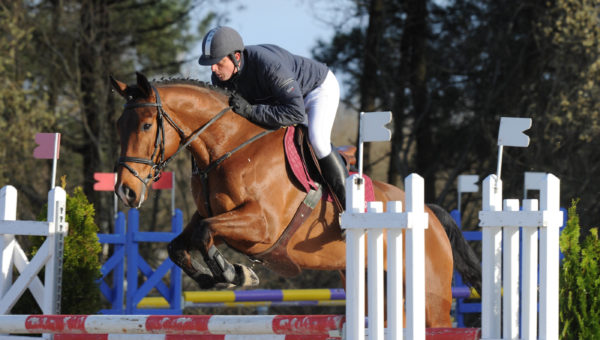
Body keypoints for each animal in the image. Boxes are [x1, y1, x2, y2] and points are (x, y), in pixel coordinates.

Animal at [110, 71, 480, 326]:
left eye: (146, 126)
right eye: (118, 125)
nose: (125, 191)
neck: (231, 146)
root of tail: (430, 214)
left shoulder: (262, 225)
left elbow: (205, 235)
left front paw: (235, 273)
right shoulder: (211, 217)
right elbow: (179, 245)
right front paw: (218, 276)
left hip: (430, 298)